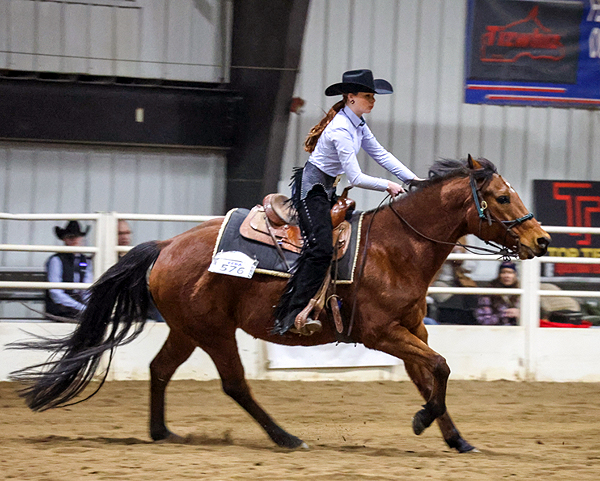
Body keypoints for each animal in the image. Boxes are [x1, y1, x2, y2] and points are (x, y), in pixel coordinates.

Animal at [10, 156, 550, 453]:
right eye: (502, 197)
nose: (542, 240)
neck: (395, 249)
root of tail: (166, 245)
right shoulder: (381, 334)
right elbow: (439, 368)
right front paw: (423, 423)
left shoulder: (413, 331)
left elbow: (430, 375)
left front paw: (456, 438)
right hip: (214, 332)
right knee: (235, 385)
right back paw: (286, 438)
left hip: (187, 329)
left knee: (160, 369)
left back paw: (163, 432)